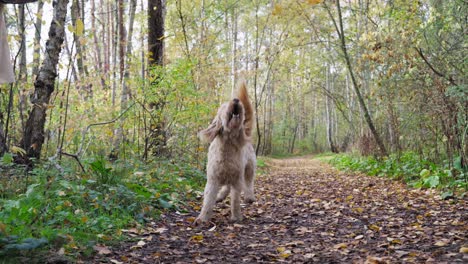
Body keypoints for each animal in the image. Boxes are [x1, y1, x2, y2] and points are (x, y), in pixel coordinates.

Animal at [196, 82, 258, 223]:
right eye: (224, 106)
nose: (236, 100)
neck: (228, 146)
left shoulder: (237, 180)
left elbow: (235, 200)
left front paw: (236, 217)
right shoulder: (213, 179)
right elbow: (208, 200)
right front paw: (203, 217)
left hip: (249, 169)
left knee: (248, 183)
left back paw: (249, 197)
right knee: (226, 187)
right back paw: (220, 196)